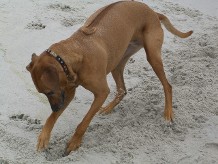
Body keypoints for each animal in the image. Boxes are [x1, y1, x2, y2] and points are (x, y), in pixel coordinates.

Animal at [26, 0, 192, 155]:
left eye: (49, 92)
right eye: (43, 93)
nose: (55, 108)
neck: (75, 52)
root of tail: (153, 12)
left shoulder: (100, 93)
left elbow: (84, 122)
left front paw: (74, 143)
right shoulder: (66, 91)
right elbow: (51, 118)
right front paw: (44, 137)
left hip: (152, 55)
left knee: (167, 85)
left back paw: (168, 112)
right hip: (118, 62)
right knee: (122, 90)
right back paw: (108, 108)